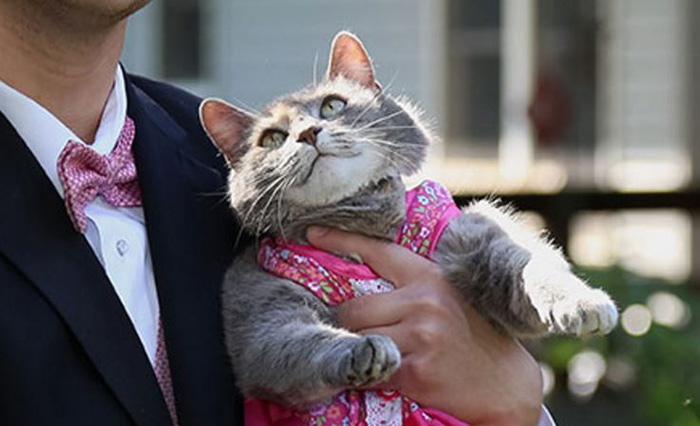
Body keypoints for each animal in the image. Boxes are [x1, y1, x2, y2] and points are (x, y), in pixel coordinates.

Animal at [198, 32, 616, 406]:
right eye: (272, 139)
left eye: (332, 106)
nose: (308, 132)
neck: (368, 221)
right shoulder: (260, 312)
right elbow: (295, 344)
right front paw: (364, 350)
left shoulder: (472, 236)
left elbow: (533, 267)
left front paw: (585, 303)